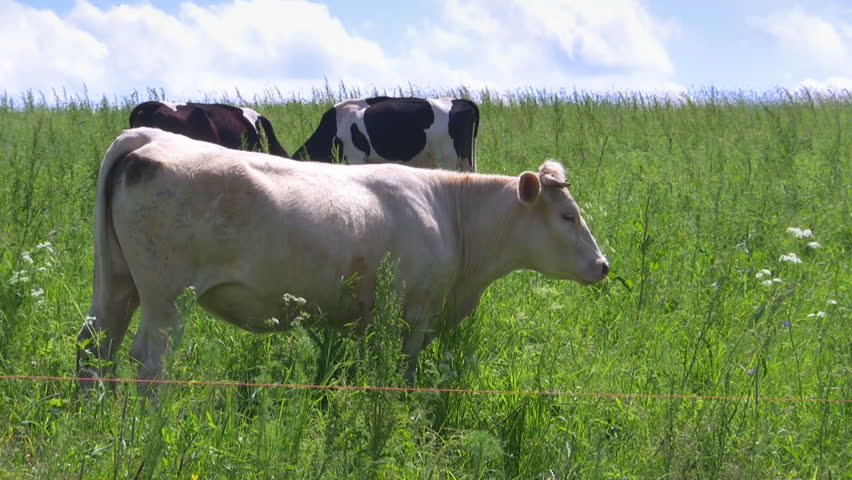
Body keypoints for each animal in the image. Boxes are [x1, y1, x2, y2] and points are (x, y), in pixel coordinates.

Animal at [77, 128, 608, 390]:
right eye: (568, 214)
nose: (603, 265)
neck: (449, 212)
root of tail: (149, 137)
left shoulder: (364, 321)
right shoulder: (411, 317)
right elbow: (402, 377)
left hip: (115, 282)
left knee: (94, 347)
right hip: (167, 296)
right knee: (149, 361)